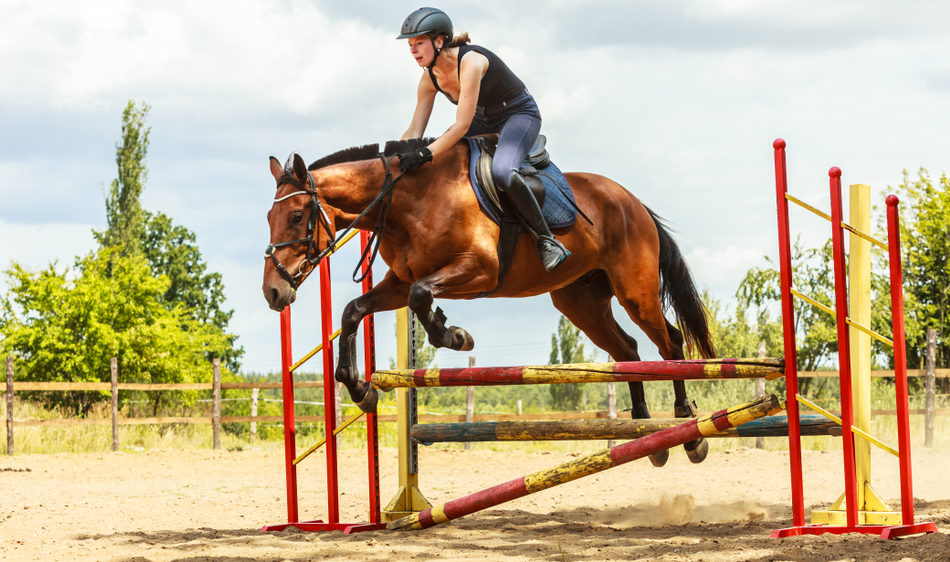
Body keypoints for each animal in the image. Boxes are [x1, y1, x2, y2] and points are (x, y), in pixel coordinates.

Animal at [260, 138, 712, 462]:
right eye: (269, 218)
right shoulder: (396, 283)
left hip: (635, 293)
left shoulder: (478, 269)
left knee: (669, 344)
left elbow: (421, 296)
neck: (407, 204)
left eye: (297, 216)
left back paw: (688, 432)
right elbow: (354, 311)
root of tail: (632, 201)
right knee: (629, 351)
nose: (273, 291)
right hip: (581, 303)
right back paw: (647, 432)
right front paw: (361, 389)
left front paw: (454, 335)